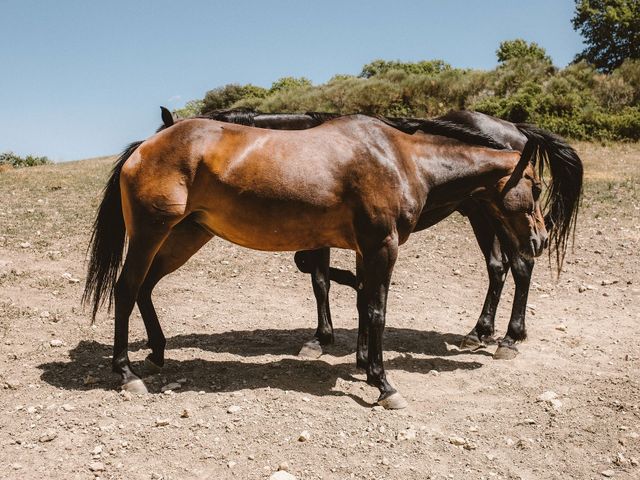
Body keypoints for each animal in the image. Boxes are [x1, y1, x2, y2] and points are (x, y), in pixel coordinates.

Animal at [82, 113, 548, 408]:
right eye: (536, 187)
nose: (541, 239)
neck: (400, 158)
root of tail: (145, 147)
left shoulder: (364, 250)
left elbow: (361, 303)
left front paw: (363, 365)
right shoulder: (382, 247)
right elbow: (375, 311)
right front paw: (383, 383)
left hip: (184, 236)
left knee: (145, 288)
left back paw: (158, 353)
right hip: (151, 234)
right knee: (126, 289)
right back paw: (126, 373)